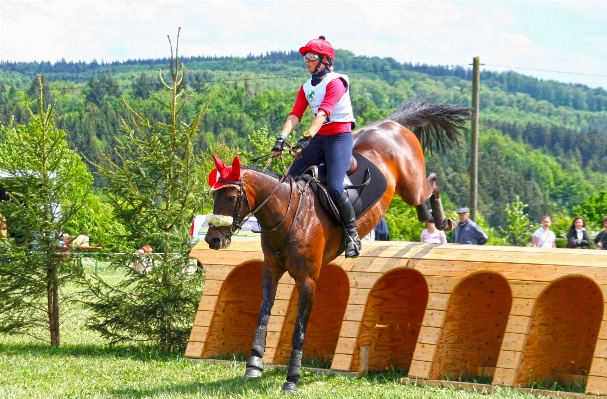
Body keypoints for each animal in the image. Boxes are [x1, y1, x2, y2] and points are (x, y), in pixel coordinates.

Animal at [204, 97, 470, 394]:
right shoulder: (270, 272)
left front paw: (291, 379)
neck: (288, 213)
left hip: (411, 184)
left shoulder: (308, 279)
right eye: (214, 196)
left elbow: (299, 331)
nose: (213, 239)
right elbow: (263, 315)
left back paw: (443, 220)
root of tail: (390, 124)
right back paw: (429, 217)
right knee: (424, 195)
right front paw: (253, 365)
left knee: (431, 183)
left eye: (230, 197)